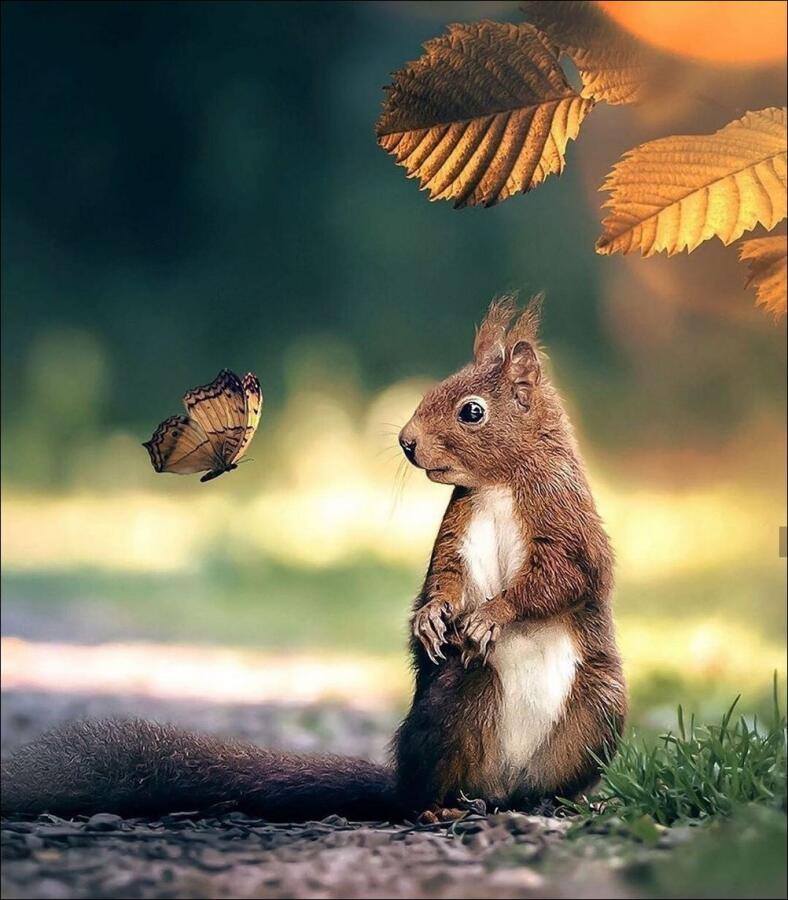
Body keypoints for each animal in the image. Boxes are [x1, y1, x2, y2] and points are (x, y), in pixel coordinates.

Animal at [1, 295, 626, 822]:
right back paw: (437, 807)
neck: (498, 484)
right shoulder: (458, 530)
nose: (406, 442)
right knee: (427, 785)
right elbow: (446, 579)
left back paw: (560, 802)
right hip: (458, 700)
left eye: (472, 412)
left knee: (549, 781)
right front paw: (432, 618)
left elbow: (562, 577)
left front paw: (489, 615)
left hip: (599, 711)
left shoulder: (565, 520)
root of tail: (499, 788)